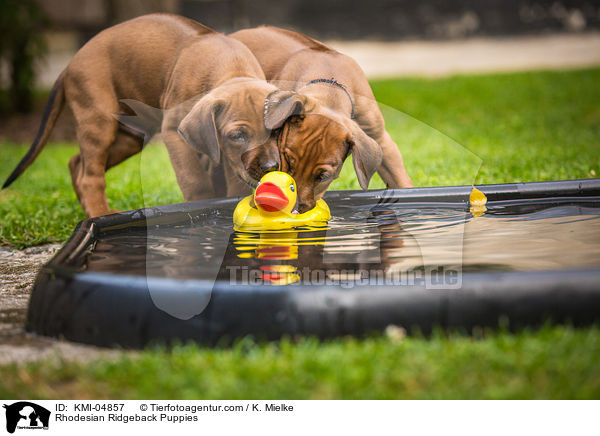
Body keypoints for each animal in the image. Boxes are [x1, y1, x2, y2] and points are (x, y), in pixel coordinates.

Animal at [1, 13, 288, 218]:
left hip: (131, 137)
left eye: (276, 131)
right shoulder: (175, 132)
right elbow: (195, 180)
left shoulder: (226, 155)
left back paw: (91, 213)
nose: (270, 167)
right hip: (98, 121)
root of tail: (70, 64)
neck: (232, 70)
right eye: (237, 135)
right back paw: (100, 214)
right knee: (89, 175)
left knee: (76, 162)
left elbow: (234, 180)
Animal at [232, 25, 414, 213]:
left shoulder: (381, 140)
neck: (330, 86)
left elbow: (401, 180)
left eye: (323, 176)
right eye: (287, 160)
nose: (293, 211)